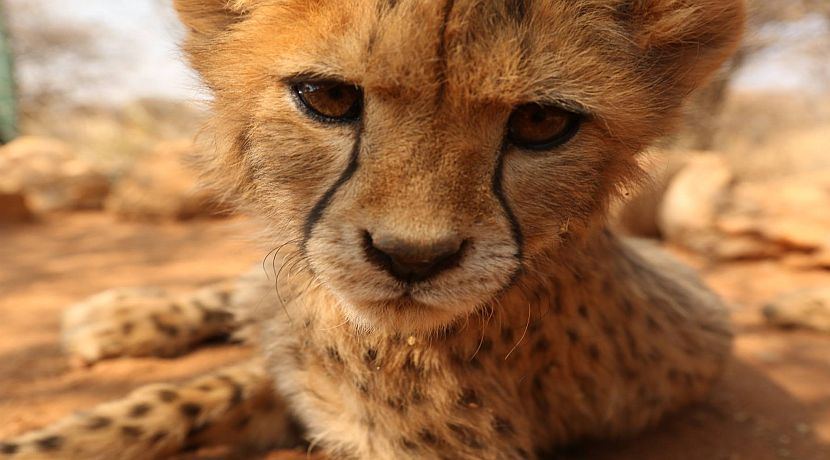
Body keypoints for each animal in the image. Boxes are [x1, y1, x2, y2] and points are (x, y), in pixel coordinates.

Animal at [0, 0, 745, 458]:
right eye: (328, 97)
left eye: (542, 123)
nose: (411, 258)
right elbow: (189, 392)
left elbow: (232, 383)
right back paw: (119, 312)